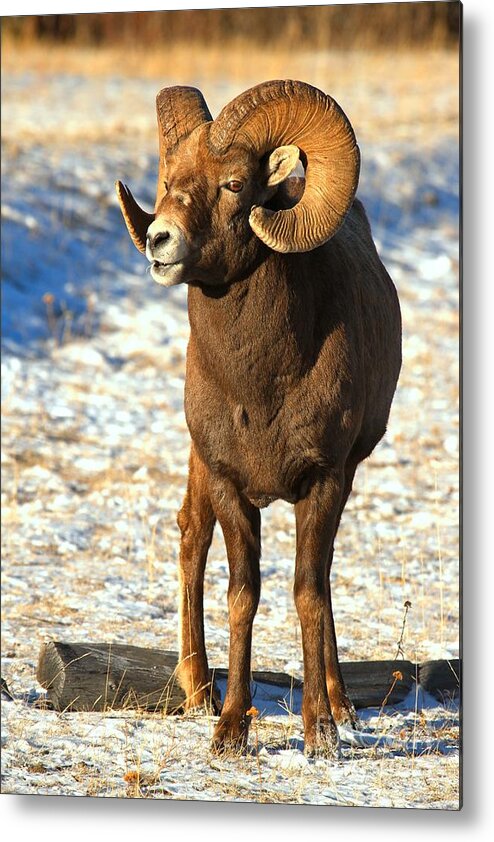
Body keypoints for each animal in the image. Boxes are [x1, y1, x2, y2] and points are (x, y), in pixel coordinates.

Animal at [117, 80, 404, 756]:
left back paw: (341, 704)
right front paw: (229, 731)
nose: (160, 242)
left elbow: (308, 591)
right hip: (200, 462)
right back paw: (198, 691)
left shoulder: (323, 481)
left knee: (321, 577)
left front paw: (320, 732)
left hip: (341, 482)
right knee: (192, 537)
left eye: (232, 184)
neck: (265, 383)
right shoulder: (229, 482)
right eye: (168, 179)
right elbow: (242, 594)